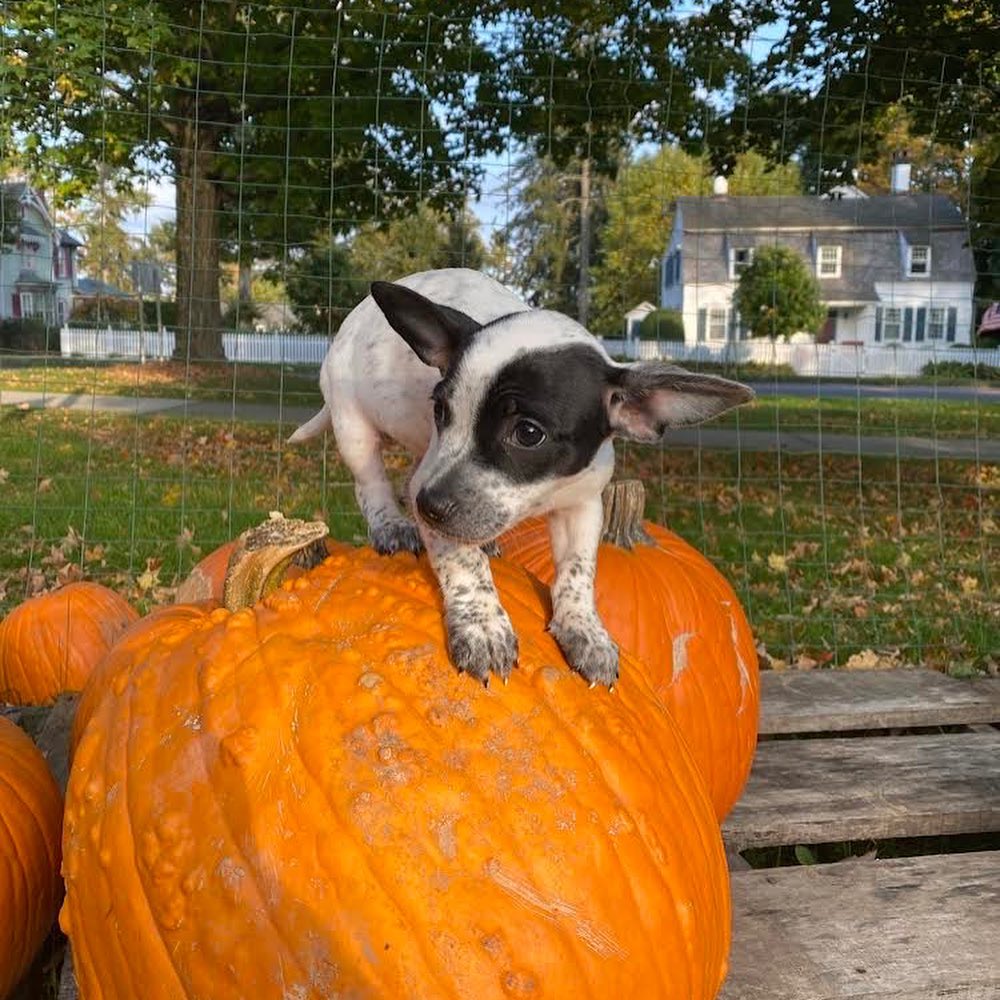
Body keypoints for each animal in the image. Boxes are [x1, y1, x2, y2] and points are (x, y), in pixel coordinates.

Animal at [290, 266, 752, 688]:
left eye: (528, 433)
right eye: (442, 410)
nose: (428, 507)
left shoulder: (583, 506)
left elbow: (578, 572)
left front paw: (585, 628)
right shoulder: (434, 491)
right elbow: (463, 562)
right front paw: (482, 625)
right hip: (353, 426)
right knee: (372, 483)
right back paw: (391, 524)